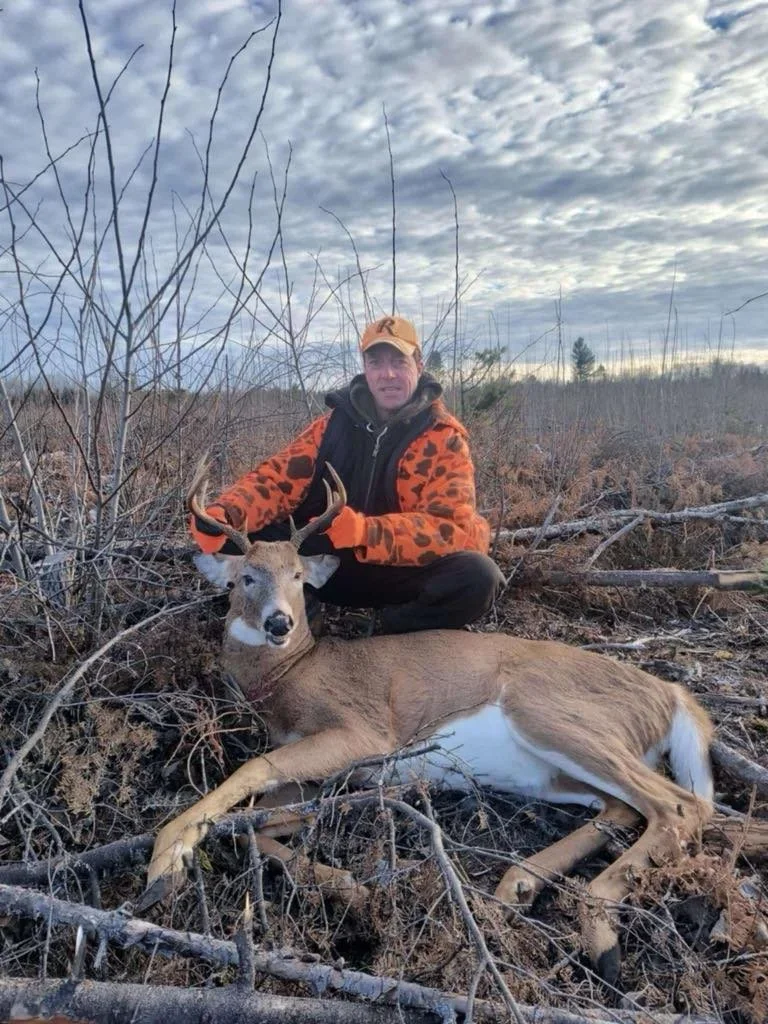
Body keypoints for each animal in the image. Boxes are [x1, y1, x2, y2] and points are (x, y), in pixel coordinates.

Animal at [142, 461, 715, 985]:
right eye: (246, 577)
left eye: (298, 579)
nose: (279, 622)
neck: (291, 674)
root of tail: (671, 694)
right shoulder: (327, 774)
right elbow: (257, 824)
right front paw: (351, 886)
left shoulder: (363, 730)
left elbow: (253, 771)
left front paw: (163, 861)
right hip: (555, 769)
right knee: (624, 808)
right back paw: (518, 888)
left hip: (550, 712)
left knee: (678, 806)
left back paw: (598, 933)